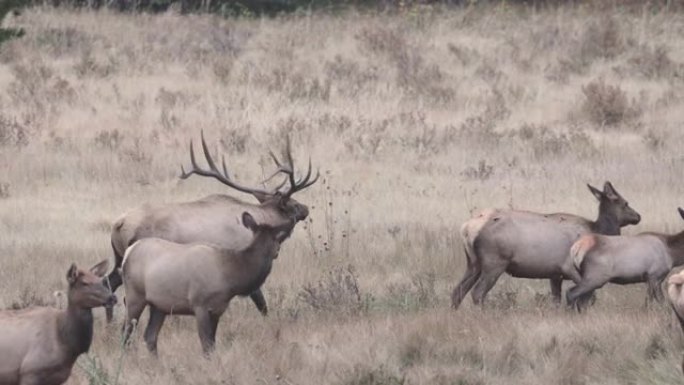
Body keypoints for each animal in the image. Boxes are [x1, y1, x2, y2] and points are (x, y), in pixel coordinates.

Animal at [105, 132, 320, 320]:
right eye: (293, 204)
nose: (306, 209)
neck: (260, 218)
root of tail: (118, 224)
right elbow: (260, 301)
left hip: (119, 259)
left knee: (108, 284)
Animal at [122, 210, 292, 354]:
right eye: (277, 238)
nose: (277, 251)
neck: (230, 278)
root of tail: (128, 252)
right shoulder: (200, 305)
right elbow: (206, 344)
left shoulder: (217, 309)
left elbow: (213, 344)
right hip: (135, 296)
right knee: (126, 332)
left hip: (159, 305)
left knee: (150, 336)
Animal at [452, 181, 640, 308]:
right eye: (625, 203)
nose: (638, 216)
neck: (597, 229)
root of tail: (466, 229)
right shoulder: (569, 268)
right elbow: (588, 297)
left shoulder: (555, 274)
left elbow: (556, 300)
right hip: (495, 262)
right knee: (477, 293)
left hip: (473, 263)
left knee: (457, 291)